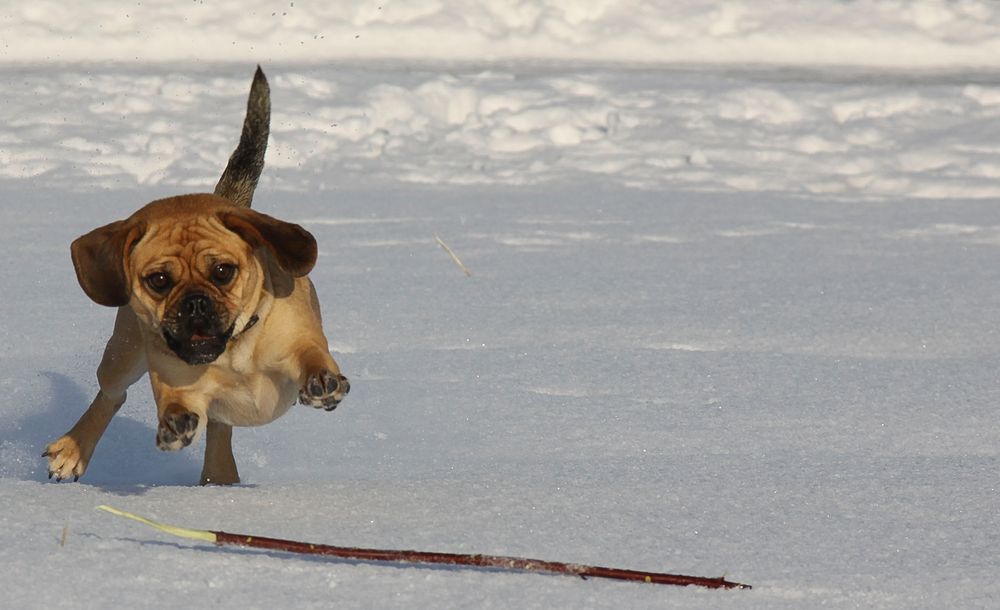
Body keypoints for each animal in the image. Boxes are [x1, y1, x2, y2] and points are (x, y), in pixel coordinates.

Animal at [44, 66, 352, 482]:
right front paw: (174, 423)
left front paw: (322, 381)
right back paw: (73, 449)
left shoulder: (298, 337)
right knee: (111, 395)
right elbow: (175, 402)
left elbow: (311, 356)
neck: (233, 354)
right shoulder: (173, 378)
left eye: (223, 271)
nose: (195, 304)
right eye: (158, 280)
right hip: (123, 352)